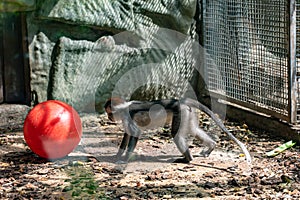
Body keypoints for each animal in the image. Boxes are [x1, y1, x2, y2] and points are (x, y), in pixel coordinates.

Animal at [104, 97, 252, 164]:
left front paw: (124, 159)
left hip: (180, 112)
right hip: (188, 113)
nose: (109, 117)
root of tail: (181, 101)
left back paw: (188, 159)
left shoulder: (127, 116)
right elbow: (127, 135)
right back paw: (210, 146)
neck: (124, 107)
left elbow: (135, 133)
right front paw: (117, 156)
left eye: (109, 113)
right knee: (193, 129)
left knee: (175, 134)